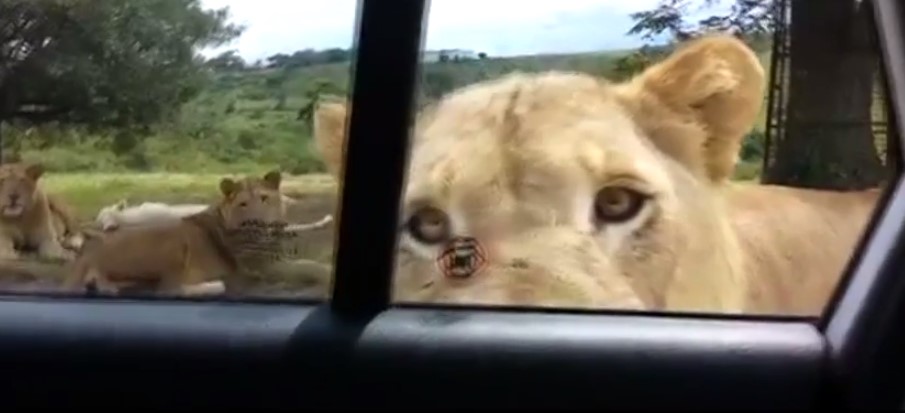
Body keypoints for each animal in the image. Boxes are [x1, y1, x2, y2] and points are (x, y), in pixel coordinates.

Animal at [61, 169, 290, 294]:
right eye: (243, 204)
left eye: (264, 198)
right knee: (168, 289)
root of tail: (86, 254)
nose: (258, 222)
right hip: (172, 245)